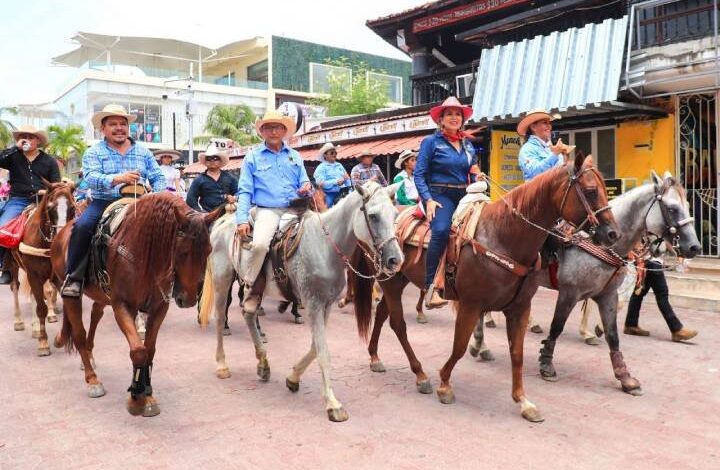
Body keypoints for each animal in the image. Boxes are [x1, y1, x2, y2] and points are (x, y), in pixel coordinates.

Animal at [50, 193, 221, 416]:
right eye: (183, 252)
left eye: (209, 250)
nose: (189, 298)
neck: (144, 253)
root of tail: (62, 232)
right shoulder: (123, 306)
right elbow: (138, 351)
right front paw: (135, 398)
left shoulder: (159, 308)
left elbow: (149, 350)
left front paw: (146, 394)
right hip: (70, 291)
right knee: (78, 332)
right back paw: (92, 379)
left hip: (101, 295)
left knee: (95, 315)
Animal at [200, 181, 402, 422]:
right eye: (373, 216)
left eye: (395, 214)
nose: (395, 260)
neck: (324, 247)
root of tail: (224, 221)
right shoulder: (313, 304)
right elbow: (323, 352)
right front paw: (332, 404)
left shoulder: (326, 305)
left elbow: (315, 347)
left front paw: (293, 378)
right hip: (222, 281)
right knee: (221, 318)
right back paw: (222, 365)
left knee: (248, 313)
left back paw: (263, 363)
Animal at [352, 154, 620, 422]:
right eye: (591, 191)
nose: (613, 234)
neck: (502, 236)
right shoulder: (470, 305)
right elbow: (459, 346)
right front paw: (444, 385)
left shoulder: (520, 308)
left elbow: (517, 354)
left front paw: (523, 401)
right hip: (389, 280)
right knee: (397, 324)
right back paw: (420, 376)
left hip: (398, 280)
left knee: (382, 314)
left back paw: (375, 357)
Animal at [470, 171, 700, 394]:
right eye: (672, 208)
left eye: (688, 205)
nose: (694, 247)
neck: (601, 244)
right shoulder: (569, 293)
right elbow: (557, 326)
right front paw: (546, 363)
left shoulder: (607, 295)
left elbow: (612, 335)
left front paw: (624, 377)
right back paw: (482, 343)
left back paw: (483, 343)